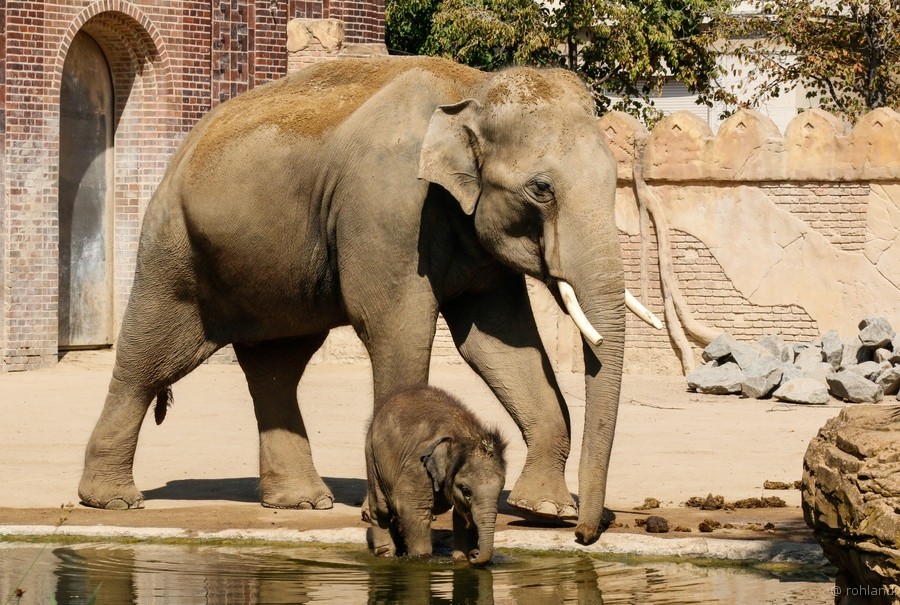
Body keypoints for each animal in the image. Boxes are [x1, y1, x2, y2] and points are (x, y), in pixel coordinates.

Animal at [79, 55, 660, 544]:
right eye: (541, 189)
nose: (587, 535)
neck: (469, 88)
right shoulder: (387, 207)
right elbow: (399, 326)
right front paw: (399, 508)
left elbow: (500, 344)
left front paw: (544, 511)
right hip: (174, 249)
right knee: (151, 360)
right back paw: (113, 501)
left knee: (277, 368)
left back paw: (300, 503)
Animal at [364, 384, 506, 564]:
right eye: (466, 491)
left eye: (501, 491)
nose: (475, 553)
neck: (462, 436)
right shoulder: (417, 467)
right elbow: (413, 509)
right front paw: (421, 557)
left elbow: (461, 515)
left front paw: (462, 558)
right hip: (373, 456)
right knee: (381, 508)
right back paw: (385, 554)